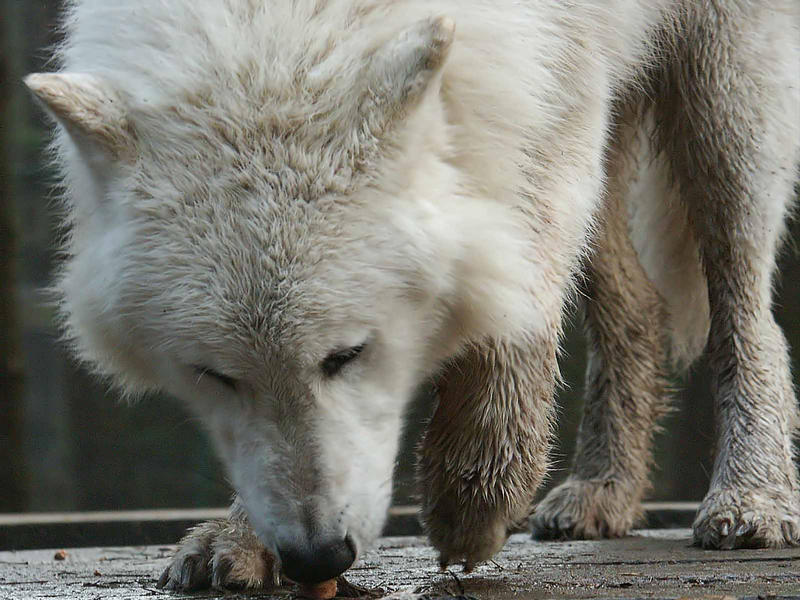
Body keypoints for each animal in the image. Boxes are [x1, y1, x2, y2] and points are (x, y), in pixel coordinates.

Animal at [28, 0, 796, 592]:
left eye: (347, 354)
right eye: (214, 376)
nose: (317, 558)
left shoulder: (557, 83)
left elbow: (517, 289)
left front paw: (472, 497)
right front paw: (243, 539)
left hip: (724, 95)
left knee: (746, 310)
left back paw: (752, 497)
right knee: (638, 307)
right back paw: (604, 492)